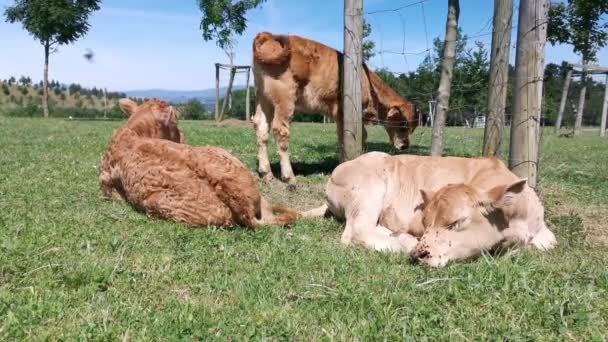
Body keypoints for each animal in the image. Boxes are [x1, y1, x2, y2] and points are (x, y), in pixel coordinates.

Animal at [252, 31, 418, 187]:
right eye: (403, 124)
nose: (405, 145)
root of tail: (270, 36)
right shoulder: (345, 113)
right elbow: (358, 136)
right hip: (285, 96)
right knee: (280, 131)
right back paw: (289, 176)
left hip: (263, 96)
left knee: (261, 127)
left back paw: (266, 173)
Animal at [306, 152, 560, 268]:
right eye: (426, 222)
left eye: (457, 222)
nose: (420, 254)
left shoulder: (545, 235)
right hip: (369, 187)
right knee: (357, 231)